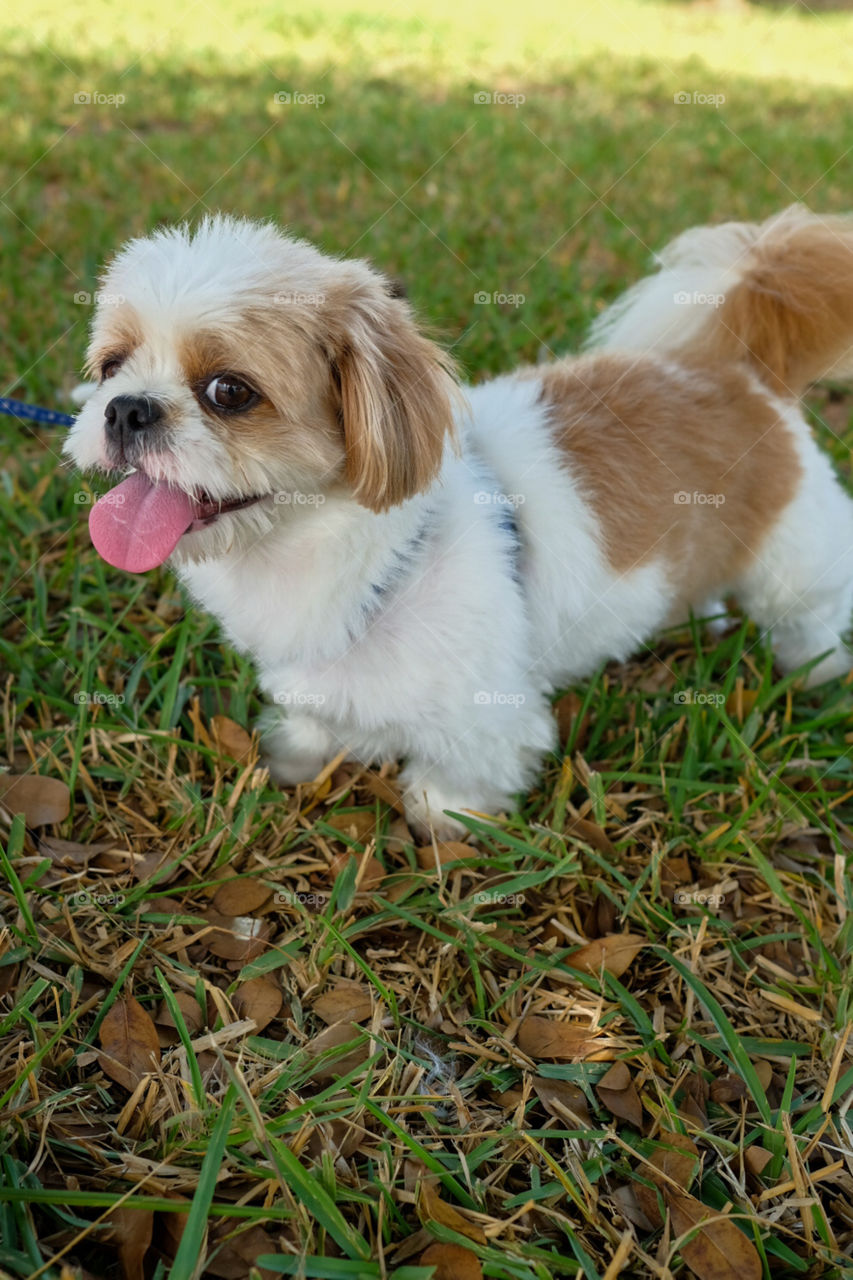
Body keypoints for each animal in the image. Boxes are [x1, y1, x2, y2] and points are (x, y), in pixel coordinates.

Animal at [64, 203, 850, 834]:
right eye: (111, 365)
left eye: (229, 391)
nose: (127, 409)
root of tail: (740, 372)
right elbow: (320, 719)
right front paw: (300, 755)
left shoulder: (486, 712)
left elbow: (460, 773)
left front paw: (442, 822)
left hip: (793, 564)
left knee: (806, 618)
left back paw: (813, 674)